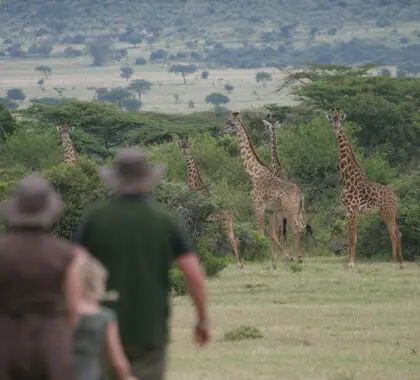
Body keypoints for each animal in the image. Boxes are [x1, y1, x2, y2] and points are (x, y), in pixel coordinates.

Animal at [221, 111, 306, 266]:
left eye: (231, 123)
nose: (221, 131)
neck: (254, 174)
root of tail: (301, 196)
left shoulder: (258, 206)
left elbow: (261, 233)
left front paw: (262, 256)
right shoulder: (271, 211)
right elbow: (272, 233)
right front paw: (279, 256)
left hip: (289, 212)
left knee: (296, 230)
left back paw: (297, 258)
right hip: (298, 212)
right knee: (301, 228)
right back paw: (298, 256)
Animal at [324, 110, 404, 268]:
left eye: (340, 120)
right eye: (331, 120)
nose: (335, 128)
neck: (347, 177)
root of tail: (396, 198)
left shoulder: (353, 209)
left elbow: (353, 238)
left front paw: (351, 263)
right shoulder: (348, 210)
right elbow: (349, 237)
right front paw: (349, 262)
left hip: (389, 214)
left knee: (394, 234)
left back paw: (393, 263)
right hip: (386, 214)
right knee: (398, 233)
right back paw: (401, 263)